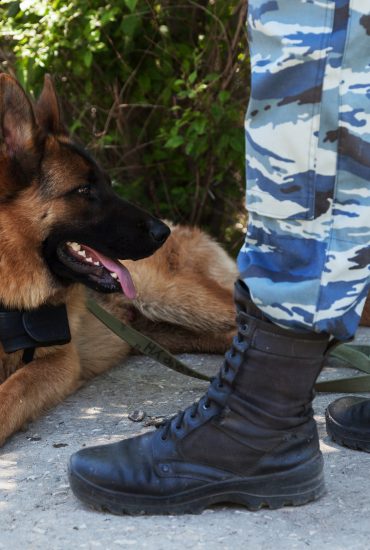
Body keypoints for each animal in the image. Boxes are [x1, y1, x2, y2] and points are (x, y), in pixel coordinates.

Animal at [0, 73, 237, 448]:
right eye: (84, 190)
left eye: (108, 185)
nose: (160, 232)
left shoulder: (58, 362)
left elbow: (11, 393)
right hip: (164, 332)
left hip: (173, 297)